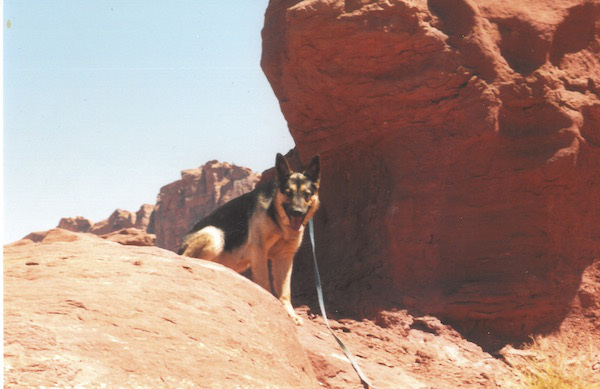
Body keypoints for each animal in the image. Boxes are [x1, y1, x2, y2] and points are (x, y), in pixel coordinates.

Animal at [178, 153, 318, 322]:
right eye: (288, 193)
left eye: (307, 194)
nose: (297, 212)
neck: (275, 214)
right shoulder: (259, 250)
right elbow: (264, 282)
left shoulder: (284, 257)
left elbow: (285, 291)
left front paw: (290, 314)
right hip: (214, 234)